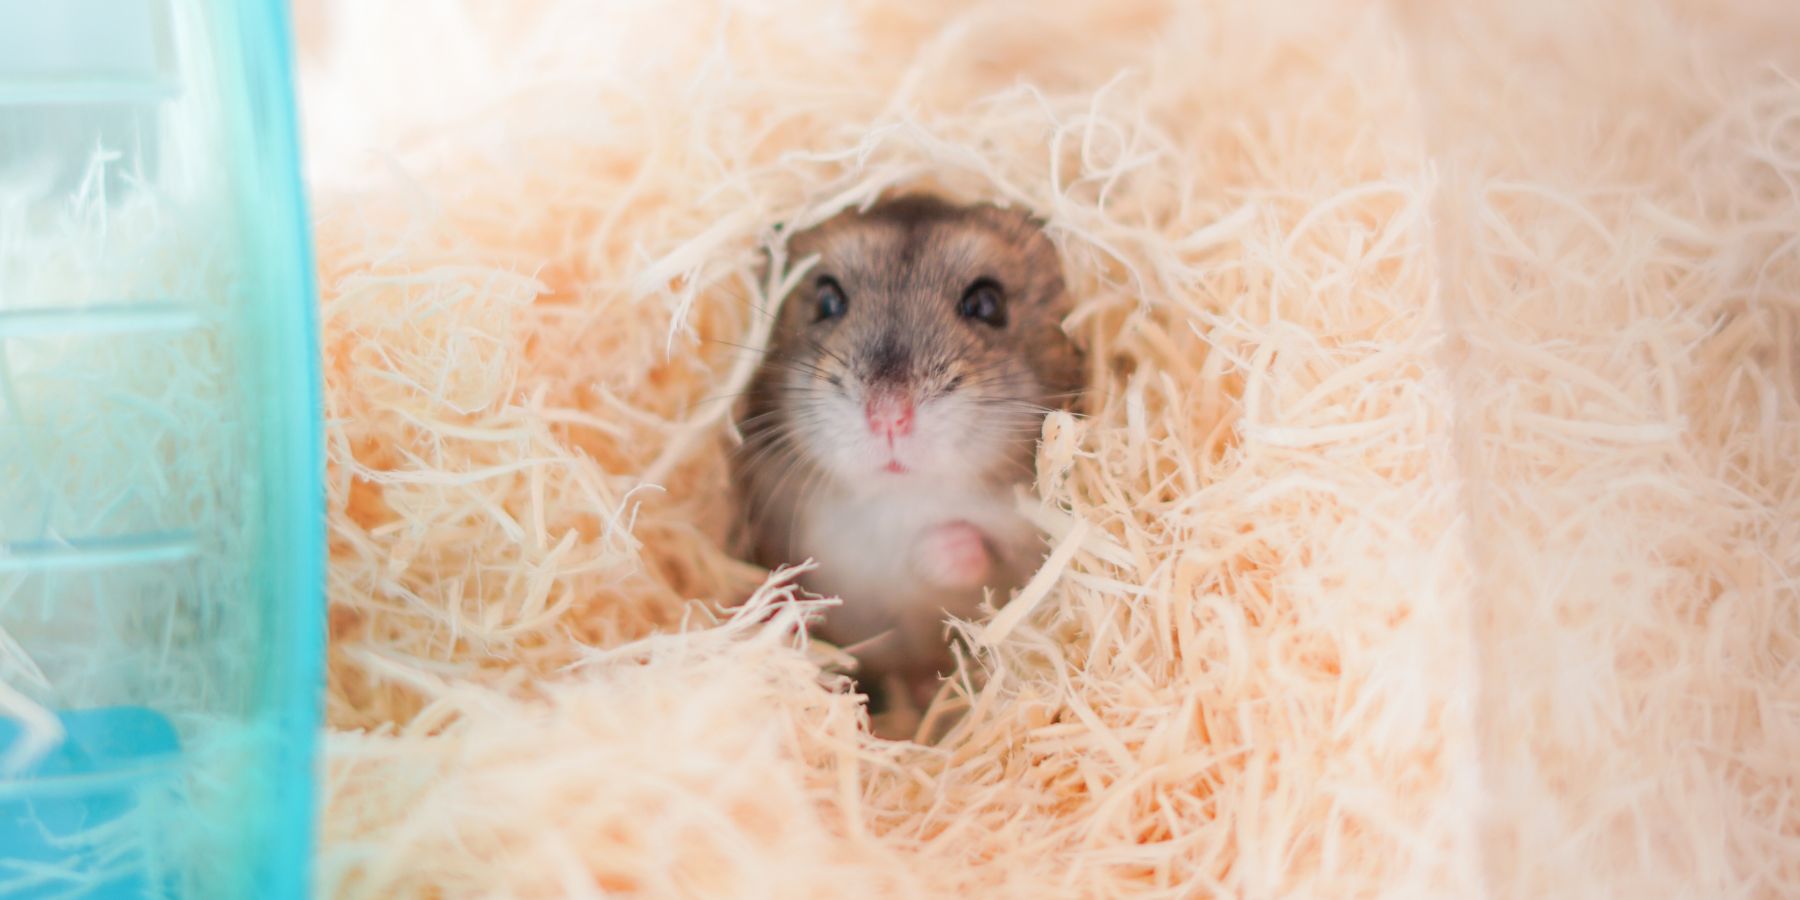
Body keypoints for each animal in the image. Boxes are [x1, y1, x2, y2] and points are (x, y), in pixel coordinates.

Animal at [733, 194, 1084, 709]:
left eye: (987, 303)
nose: (889, 416)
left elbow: (983, 559)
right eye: (827, 300)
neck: (900, 502)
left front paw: (942, 544)